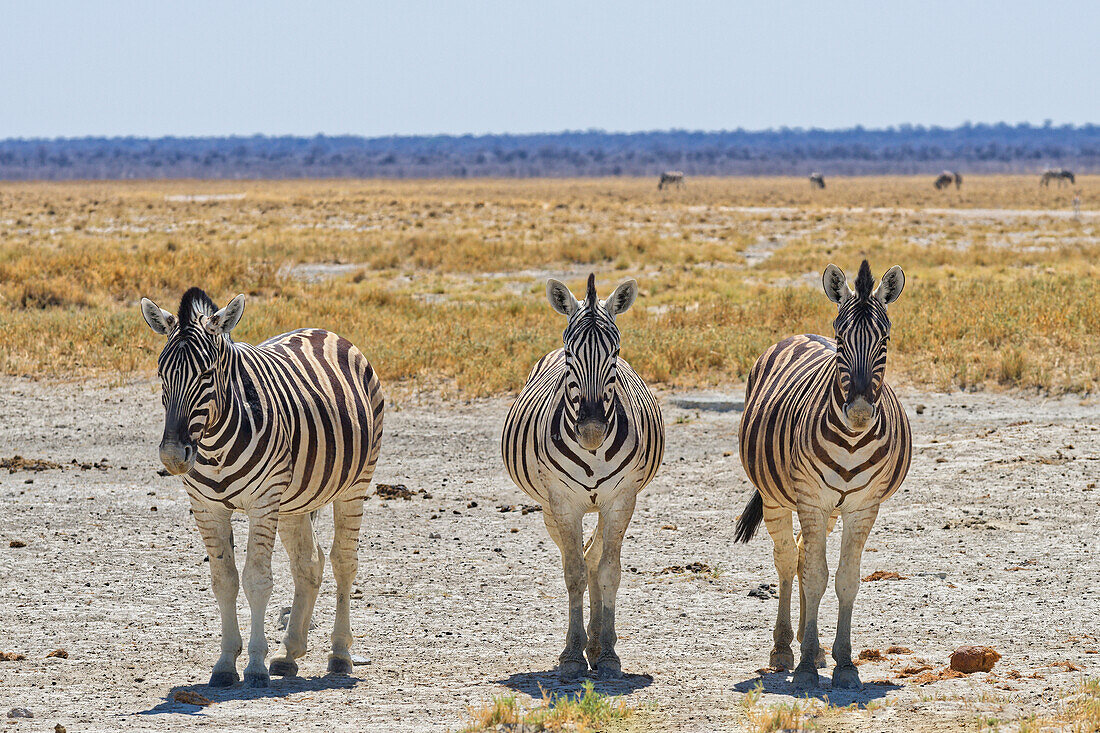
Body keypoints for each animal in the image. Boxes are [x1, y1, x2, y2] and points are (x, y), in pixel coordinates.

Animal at [139, 286, 385, 686]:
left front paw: (254, 665)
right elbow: (224, 580)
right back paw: (289, 653)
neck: (215, 444)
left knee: (343, 561)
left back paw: (340, 654)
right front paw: (226, 663)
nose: (174, 456)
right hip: (294, 501)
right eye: (161, 372)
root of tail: (323, 331)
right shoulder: (207, 507)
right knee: (308, 563)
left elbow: (257, 579)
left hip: (355, 483)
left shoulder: (262, 502)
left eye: (207, 373)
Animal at [503, 275, 664, 677]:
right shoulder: (563, 502)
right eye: (569, 354)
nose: (591, 431)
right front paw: (573, 653)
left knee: (595, 556)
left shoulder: (622, 499)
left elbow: (608, 571)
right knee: (577, 557)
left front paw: (606, 653)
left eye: (615, 353)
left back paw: (598, 642)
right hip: (548, 507)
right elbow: (574, 573)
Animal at [730, 260, 910, 686]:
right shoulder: (811, 500)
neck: (853, 440)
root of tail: (801, 334)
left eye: (885, 341)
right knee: (786, 559)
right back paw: (784, 649)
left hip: (828, 510)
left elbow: (845, 579)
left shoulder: (863, 507)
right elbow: (814, 575)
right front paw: (806, 666)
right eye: (841, 341)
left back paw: (809, 645)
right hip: (777, 497)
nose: (859, 412)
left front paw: (843, 661)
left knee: (799, 552)